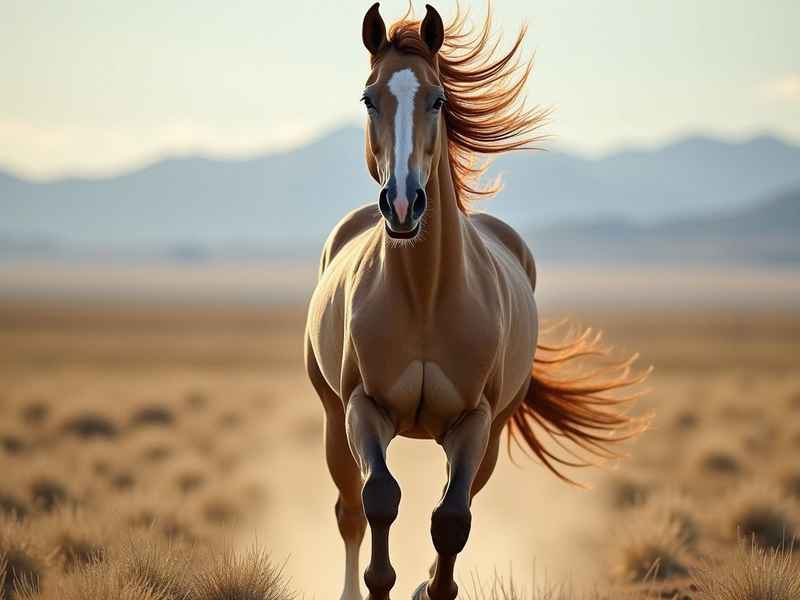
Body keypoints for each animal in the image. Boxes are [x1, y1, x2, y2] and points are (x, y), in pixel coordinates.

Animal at [304, 4, 648, 600]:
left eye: (438, 99)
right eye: (369, 98)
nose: (402, 205)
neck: (424, 295)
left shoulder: (475, 421)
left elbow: (451, 519)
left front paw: (431, 588)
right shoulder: (362, 408)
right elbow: (380, 500)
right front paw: (381, 583)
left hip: (491, 430)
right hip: (331, 415)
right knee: (348, 510)